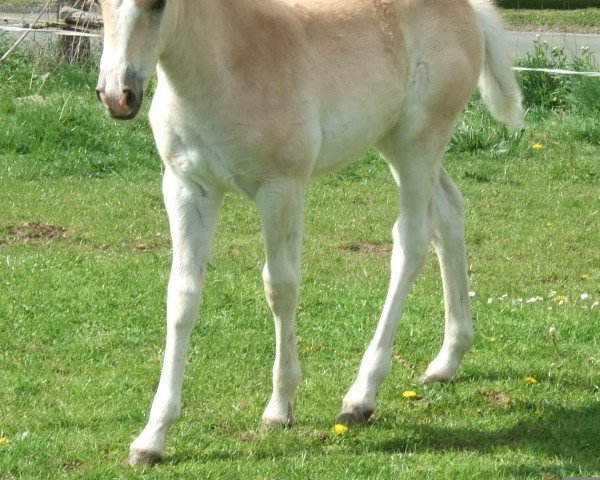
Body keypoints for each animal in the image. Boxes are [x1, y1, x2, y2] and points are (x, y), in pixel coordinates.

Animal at [96, 0, 524, 464]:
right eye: (100, 6)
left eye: (158, 5)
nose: (118, 95)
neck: (227, 65)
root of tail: (469, 10)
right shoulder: (186, 187)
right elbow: (182, 297)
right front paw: (151, 437)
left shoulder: (281, 188)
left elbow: (279, 288)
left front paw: (280, 407)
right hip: (393, 142)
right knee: (449, 213)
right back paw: (448, 359)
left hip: (418, 143)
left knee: (412, 241)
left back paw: (361, 396)